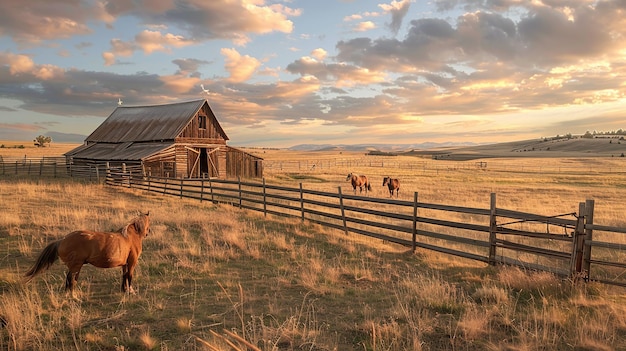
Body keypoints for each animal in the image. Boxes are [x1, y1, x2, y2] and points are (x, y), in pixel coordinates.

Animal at [23, 213, 151, 296]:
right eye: (149, 222)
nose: (148, 232)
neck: (130, 236)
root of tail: (62, 240)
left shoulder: (124, 264)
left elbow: (124, 276)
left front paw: (124, 290)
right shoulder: (132, 262)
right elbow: (129, 276)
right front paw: (131, 291)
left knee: (70, 280)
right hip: (76, 266)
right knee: (71, 279)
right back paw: (72, 295)